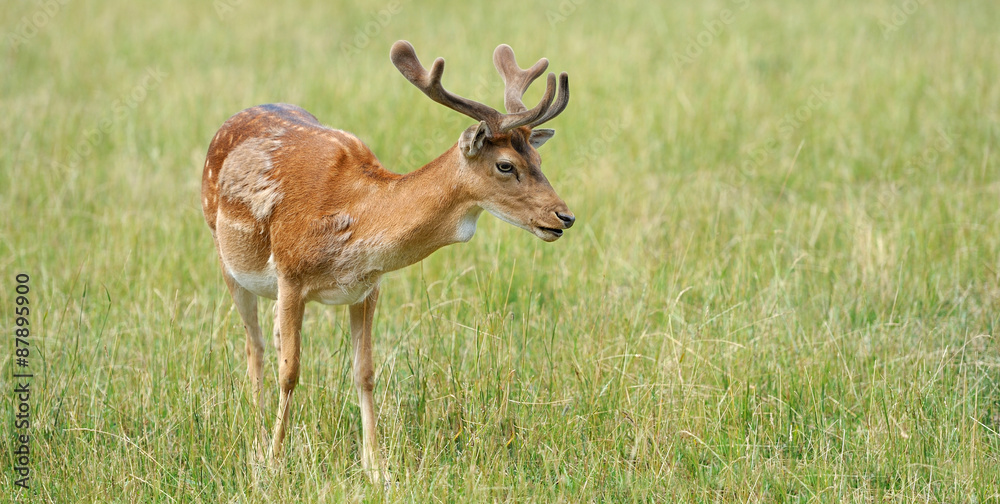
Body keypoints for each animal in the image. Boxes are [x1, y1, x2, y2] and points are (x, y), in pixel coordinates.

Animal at [200, 39, 576, 480]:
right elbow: (290, 372)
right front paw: (276, 463)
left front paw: (376, 467)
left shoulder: (367, 288)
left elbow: (364, 372)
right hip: (226, 257)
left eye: (540, 161)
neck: (356, 222)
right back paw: (258, 442)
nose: (564, 216)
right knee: (254, 346)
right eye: (505, 165)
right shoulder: (291, 275)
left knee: (270, 340)